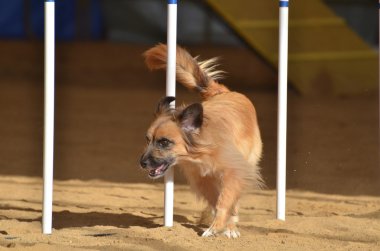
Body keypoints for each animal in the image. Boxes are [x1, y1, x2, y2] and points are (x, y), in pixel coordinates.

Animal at [141, 44, 262, 238]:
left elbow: (225, 202)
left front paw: (217, 227)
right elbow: (216, 201)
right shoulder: (202, 180)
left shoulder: (235, 173)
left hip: (247, 164)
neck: (204, 149)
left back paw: (230, 227)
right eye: (147, 139)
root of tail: (225, 93)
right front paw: (216, 223)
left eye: (164, 142)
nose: (142, 163)